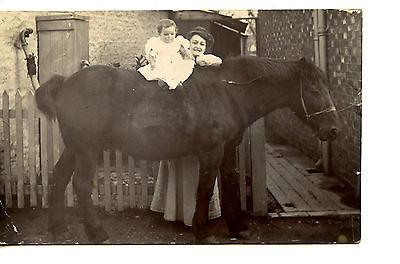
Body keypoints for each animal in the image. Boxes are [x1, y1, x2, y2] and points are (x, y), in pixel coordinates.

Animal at [35, 55, 340, 243]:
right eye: (314, 90)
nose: (333, 130)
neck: (229, 91)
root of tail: (65, 83)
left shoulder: (227, 151)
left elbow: (230, 186)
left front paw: (239, 228)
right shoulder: (211, 152)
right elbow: (204, 190)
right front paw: (202, 231)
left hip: (74, 148)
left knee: (58, 178)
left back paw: (58, 228)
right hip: (88, 149)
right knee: (80, 184)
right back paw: (97, 233)